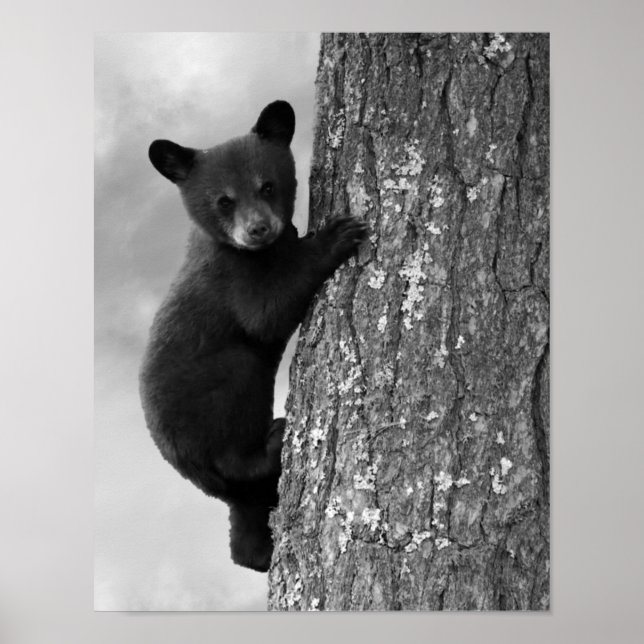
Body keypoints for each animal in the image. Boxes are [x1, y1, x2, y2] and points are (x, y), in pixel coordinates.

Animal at [139, 100, 367, 572]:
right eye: (223, 200)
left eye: (267, 186)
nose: (258, 229)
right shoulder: (233, 280)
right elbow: (268, 314)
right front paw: (335, 236)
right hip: (221, 398)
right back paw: (275, 440)